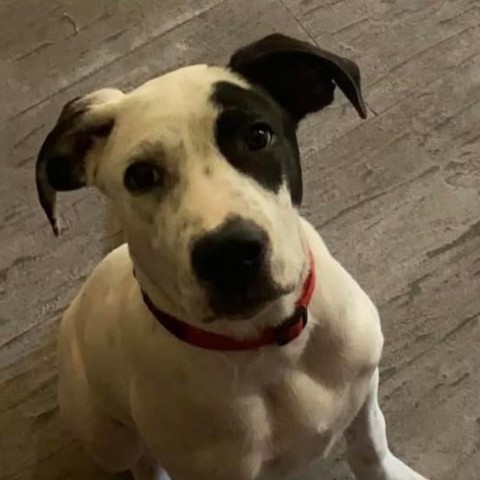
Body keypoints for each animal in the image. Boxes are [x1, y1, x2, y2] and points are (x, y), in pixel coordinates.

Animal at [35, 34, 430, 480]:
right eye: (140, 176)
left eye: (258, 136)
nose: (229, 254)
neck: (269, 347)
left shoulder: (363, 383)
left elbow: (368, 445)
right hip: (105, 434)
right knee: (138, 458)